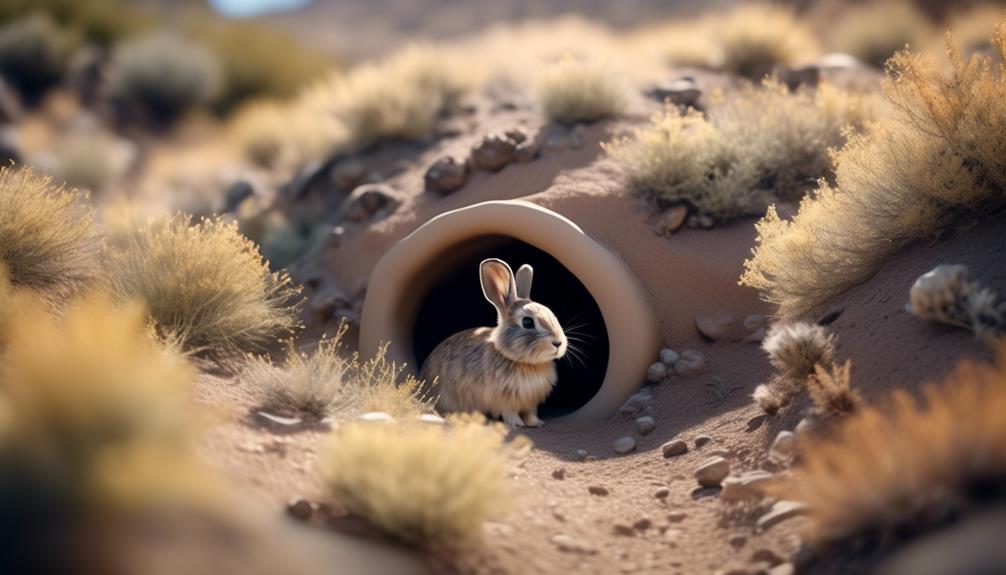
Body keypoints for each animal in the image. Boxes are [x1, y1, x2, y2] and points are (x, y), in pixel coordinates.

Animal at [420, 257, 571, 426]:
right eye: (527, 322)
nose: (558, 343)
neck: (526, 363)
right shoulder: (504, 399)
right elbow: (510, 413)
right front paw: (517, 424)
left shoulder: (530, 403)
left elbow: (530, 413)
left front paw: (536, 423)